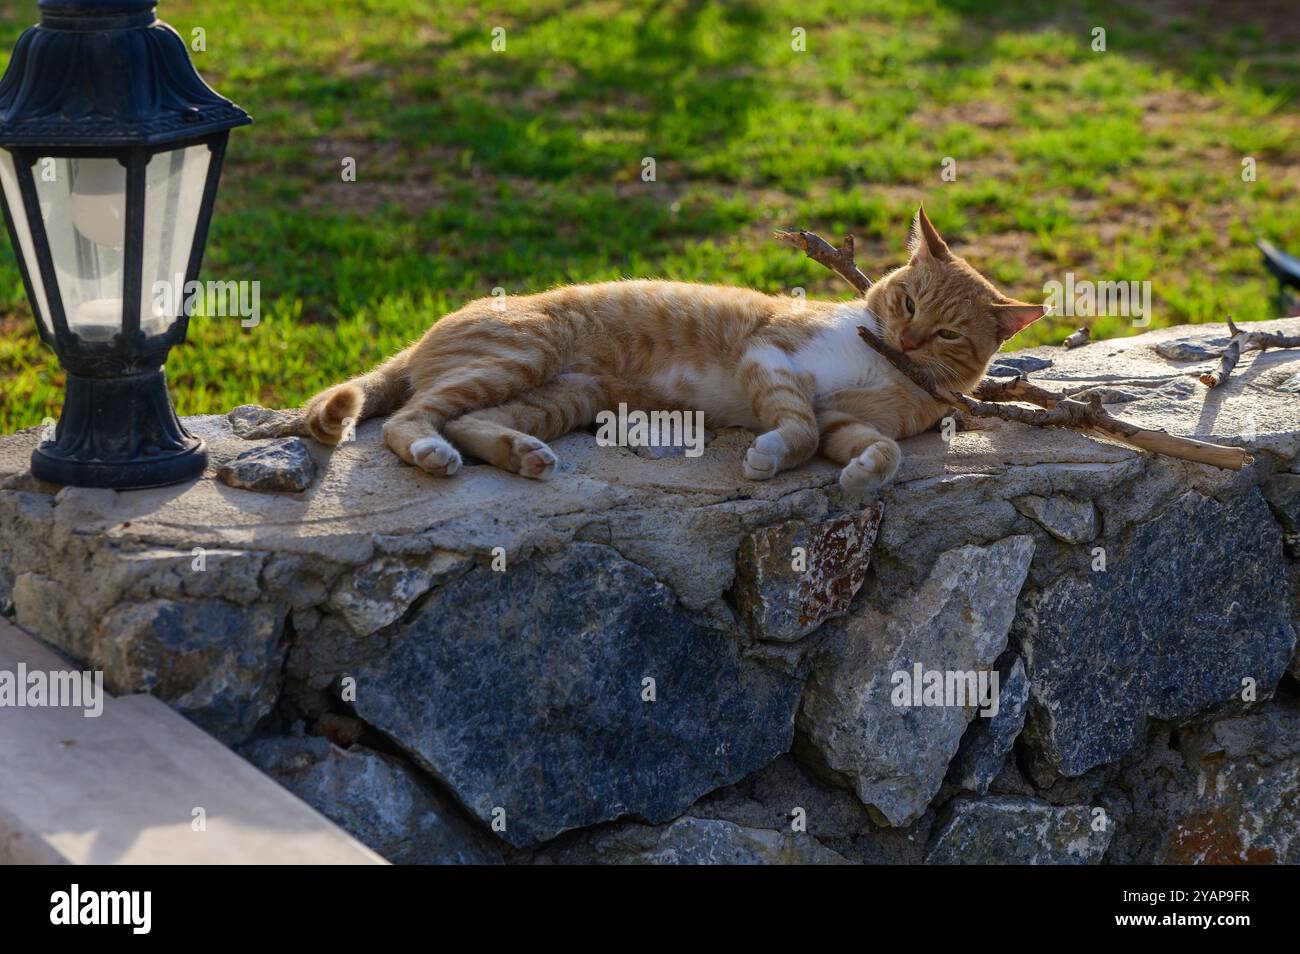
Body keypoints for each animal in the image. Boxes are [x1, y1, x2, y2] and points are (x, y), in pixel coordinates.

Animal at [299, 204, 1040, 496]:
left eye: (947, 333)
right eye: (909, 303)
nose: (907, 338)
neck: (889, 367)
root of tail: (429, 328)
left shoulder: (846, 422)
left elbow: (877, 448)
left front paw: (861, 476)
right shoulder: (772, 358)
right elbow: (796, 428)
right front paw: (768, 457)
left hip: (562, 396)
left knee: (470, 421)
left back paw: (523, 455)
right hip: (524, 356)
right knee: (410, 419)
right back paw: (432, 453)